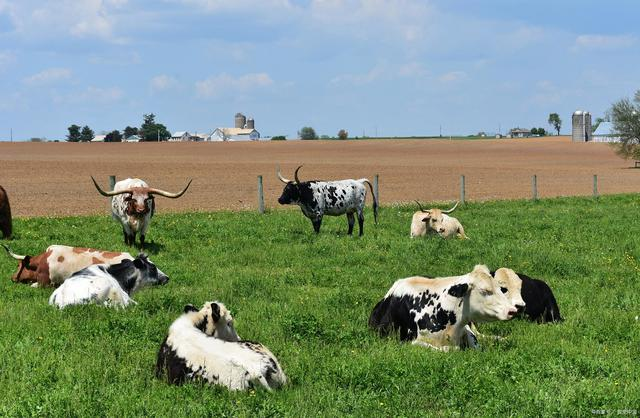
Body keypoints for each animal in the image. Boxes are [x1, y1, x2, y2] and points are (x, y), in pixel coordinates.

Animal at [368, 264, 516, 350]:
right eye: (485, 291)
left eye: (500, 288)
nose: (513, 310)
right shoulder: (410, 341)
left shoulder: (465, 330)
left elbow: (476, 345)